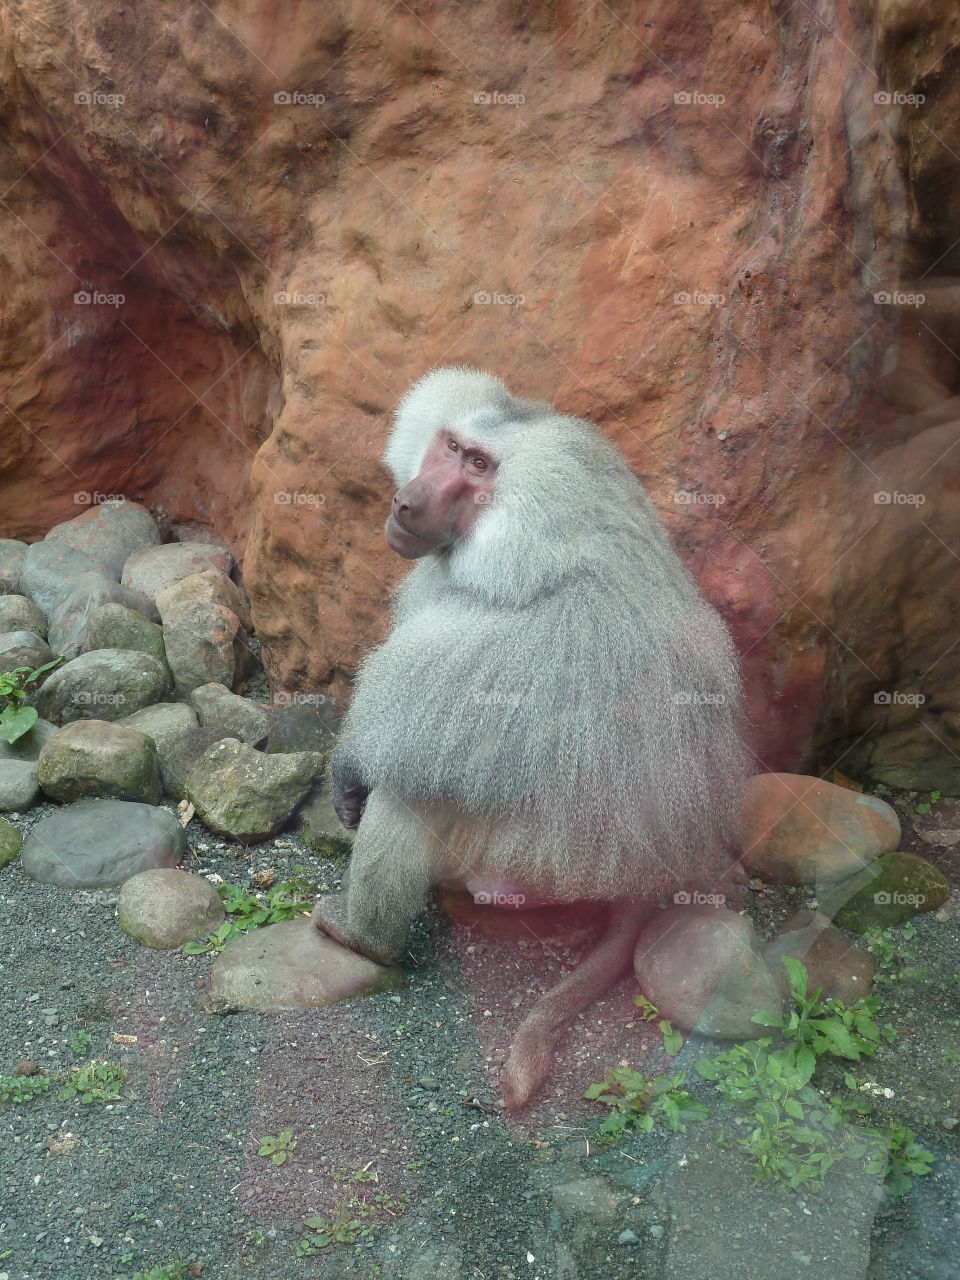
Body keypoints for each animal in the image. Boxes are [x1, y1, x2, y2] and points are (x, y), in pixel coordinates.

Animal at [312, 366, 747, 1108]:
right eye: (451, 446)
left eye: (479, 467)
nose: (406, 502)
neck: (559, 541)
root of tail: (651, 876)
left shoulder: (519, 640)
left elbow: (413, 735)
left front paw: (350, 767)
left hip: (532, 866)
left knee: (412, 798)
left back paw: (363, 937)